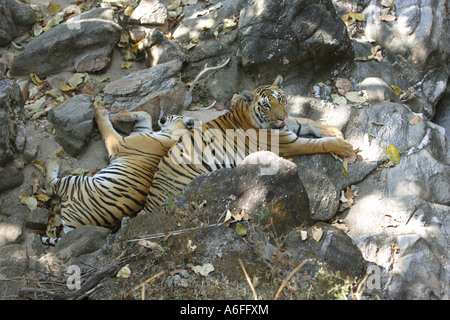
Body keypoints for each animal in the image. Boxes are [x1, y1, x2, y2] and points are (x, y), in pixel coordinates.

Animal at [144, 75, 356, 214]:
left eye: (280, 99)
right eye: (266, 105)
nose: (281, 117)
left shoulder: (290, 125)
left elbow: (309, 121)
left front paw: (333, 131)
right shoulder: (289, 143)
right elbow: (316, 144)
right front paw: (343, 146)